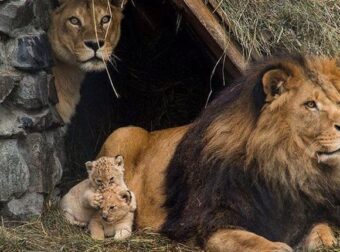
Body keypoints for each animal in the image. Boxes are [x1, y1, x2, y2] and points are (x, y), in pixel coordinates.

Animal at [98, 55, 340, 252]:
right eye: (310, 104)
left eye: (338, 102)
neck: (286, 167)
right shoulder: (209, 224)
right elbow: (250, 241)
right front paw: (277, 246)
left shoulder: (307, 214)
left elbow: (323, 232)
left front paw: (326, 241)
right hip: (122, 133)